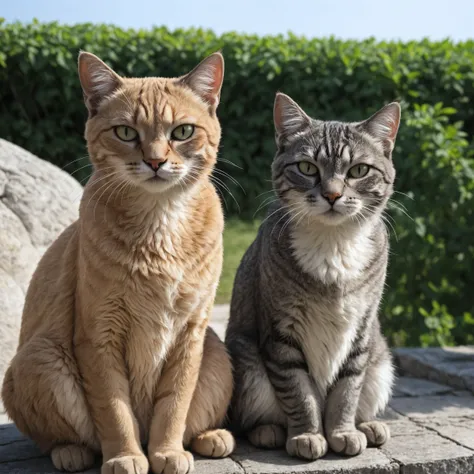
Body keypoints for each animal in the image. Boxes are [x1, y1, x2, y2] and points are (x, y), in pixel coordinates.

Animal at [1, 51, 234, 474]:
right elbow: (114, 409)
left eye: (182, 131)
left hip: (217, 354)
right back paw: (70, 452)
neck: (160, 226)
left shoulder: (190, 334)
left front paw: (166, 451)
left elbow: (174, 405)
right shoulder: (99, 336)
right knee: (55, 437)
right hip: (39, 358)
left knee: (195, 418)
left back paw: (211, 437)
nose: (155, 161)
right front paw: (126, 456)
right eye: (126, 132)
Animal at [226, 92, 400, 460]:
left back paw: (369, 425)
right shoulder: (281, 334)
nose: (332, 194)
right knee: (250, 419)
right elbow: (299, 393)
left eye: (359, 170)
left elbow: (347, 390)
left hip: (381, 363)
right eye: (307, 167)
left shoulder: (361, 330)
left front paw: (342, 431)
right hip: (247, 364)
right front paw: (307, 434)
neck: (333, 245)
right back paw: (269, 431)